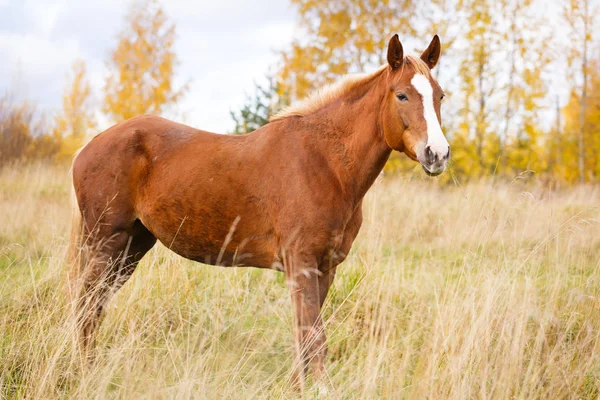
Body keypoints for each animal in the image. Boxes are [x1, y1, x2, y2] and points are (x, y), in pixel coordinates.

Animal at [67, 35, 450, 388]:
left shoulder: (324, 267)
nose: (438, 154)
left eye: (439, 96)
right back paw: (85, 374)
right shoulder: (301, 263)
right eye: (401, 95)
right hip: (106, 241)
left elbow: (304, 337)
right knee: (87, 305)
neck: (325, 163)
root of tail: (88, 146)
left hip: (132, 245)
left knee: (96, 305)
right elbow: (315, 339)